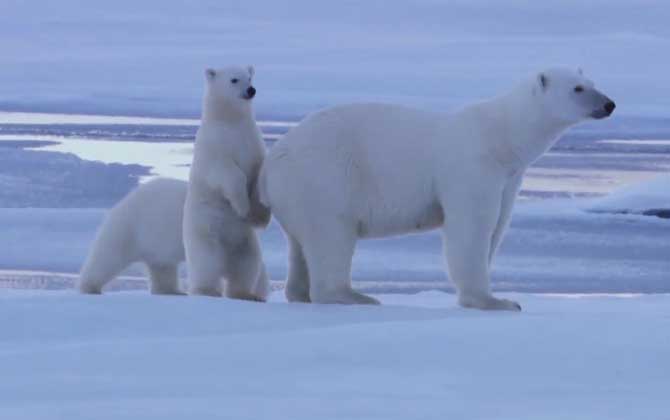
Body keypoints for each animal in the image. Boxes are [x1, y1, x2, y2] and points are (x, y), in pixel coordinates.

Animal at [260, 68, 616, 308]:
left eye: (593, 83)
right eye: (578, 88)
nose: (610, 104)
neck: (502, 137)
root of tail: (272, 162)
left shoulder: (508, 178)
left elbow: (498, 226)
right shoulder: (472, 167)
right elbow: (472, 227)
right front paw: (494, 301)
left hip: (298, 190)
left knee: (300, 243)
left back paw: (301, 292)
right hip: (324, 177)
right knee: (332, 234)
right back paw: (353, 295)